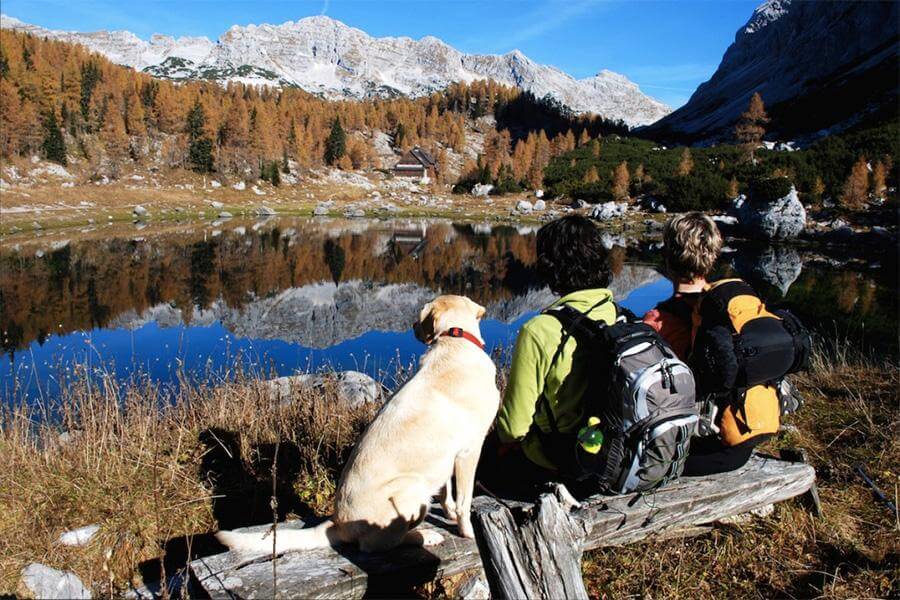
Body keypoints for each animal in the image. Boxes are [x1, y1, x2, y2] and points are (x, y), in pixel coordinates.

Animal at [215, 296, 502, 552]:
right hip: (411, 490)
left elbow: (446, 492)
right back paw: (425, 536)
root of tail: (338, 523)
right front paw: (468, 531)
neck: (454, 340)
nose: (411, 326)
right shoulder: (469, 451)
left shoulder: (448, 456)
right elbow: (465, 499)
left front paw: (450, 512)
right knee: (376, 545)